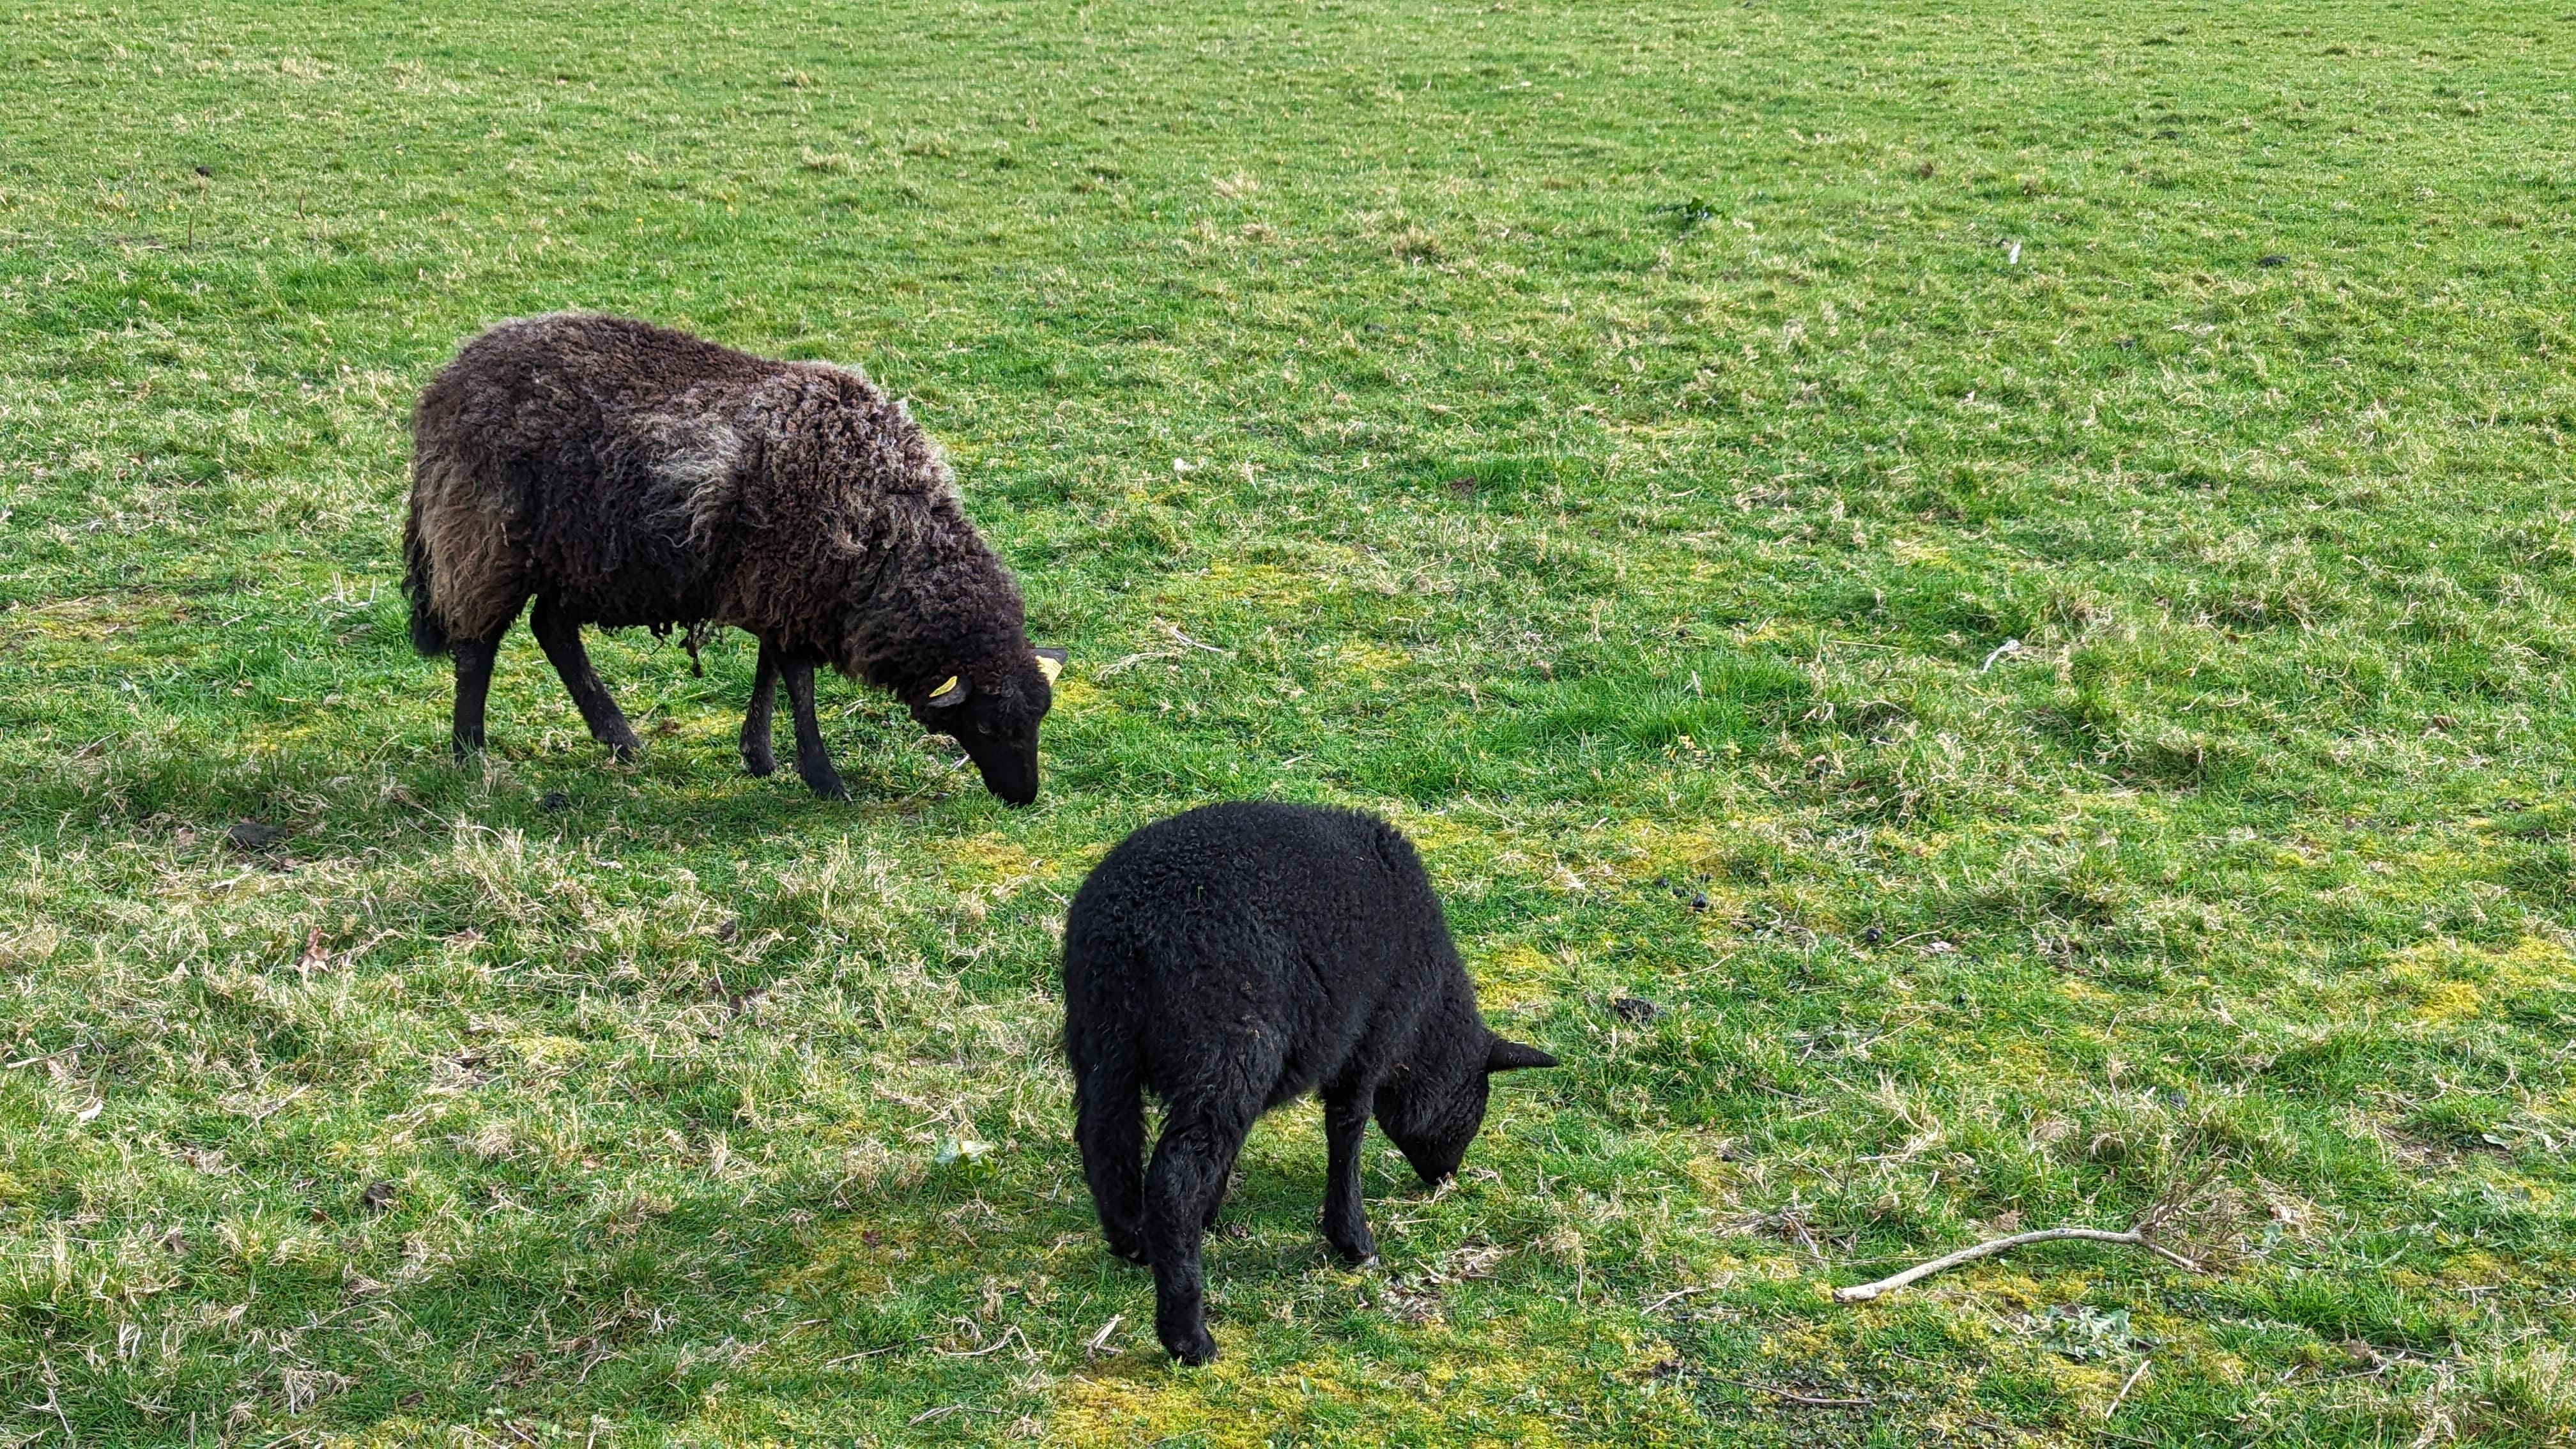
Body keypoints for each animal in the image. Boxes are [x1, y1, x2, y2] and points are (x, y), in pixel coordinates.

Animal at [403, 313, 1066, 804]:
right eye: (986, 725)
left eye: (1039, 720)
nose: (1023, 796)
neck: (884, 524)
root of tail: (447, 381)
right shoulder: (790, 581)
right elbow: (797, 678)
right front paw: (823, 777)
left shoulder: (781, 586)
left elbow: (771, 667)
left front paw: (761, 755)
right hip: (483, 538)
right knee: (477, 646)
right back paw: (469, 752)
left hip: (582, 556)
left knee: (552, 628)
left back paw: (619, 740)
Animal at [1060, 801, 1557, 1363]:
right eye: (1474, 1109)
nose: (1445, 1177)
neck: (1427, 1026)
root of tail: (1131, 932)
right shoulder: (1369, 1039)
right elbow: (1347, 1130)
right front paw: (1354, 1241)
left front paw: (1211, 1214)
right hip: (1228, 1041)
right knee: (1174, 1178)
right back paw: (1189, 1337)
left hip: (1102, 1036)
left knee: (1106, 1141)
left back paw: (1135, 1243)